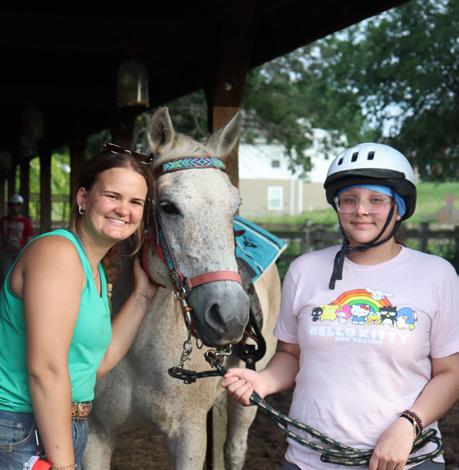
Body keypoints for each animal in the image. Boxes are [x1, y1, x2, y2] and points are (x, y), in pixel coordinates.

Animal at [81, 107, 281, 469]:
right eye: (167, 206)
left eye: (234, 207)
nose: (230, 316)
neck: (137, 349)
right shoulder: (96, 434)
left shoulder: (188, 435)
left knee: (234, 448)